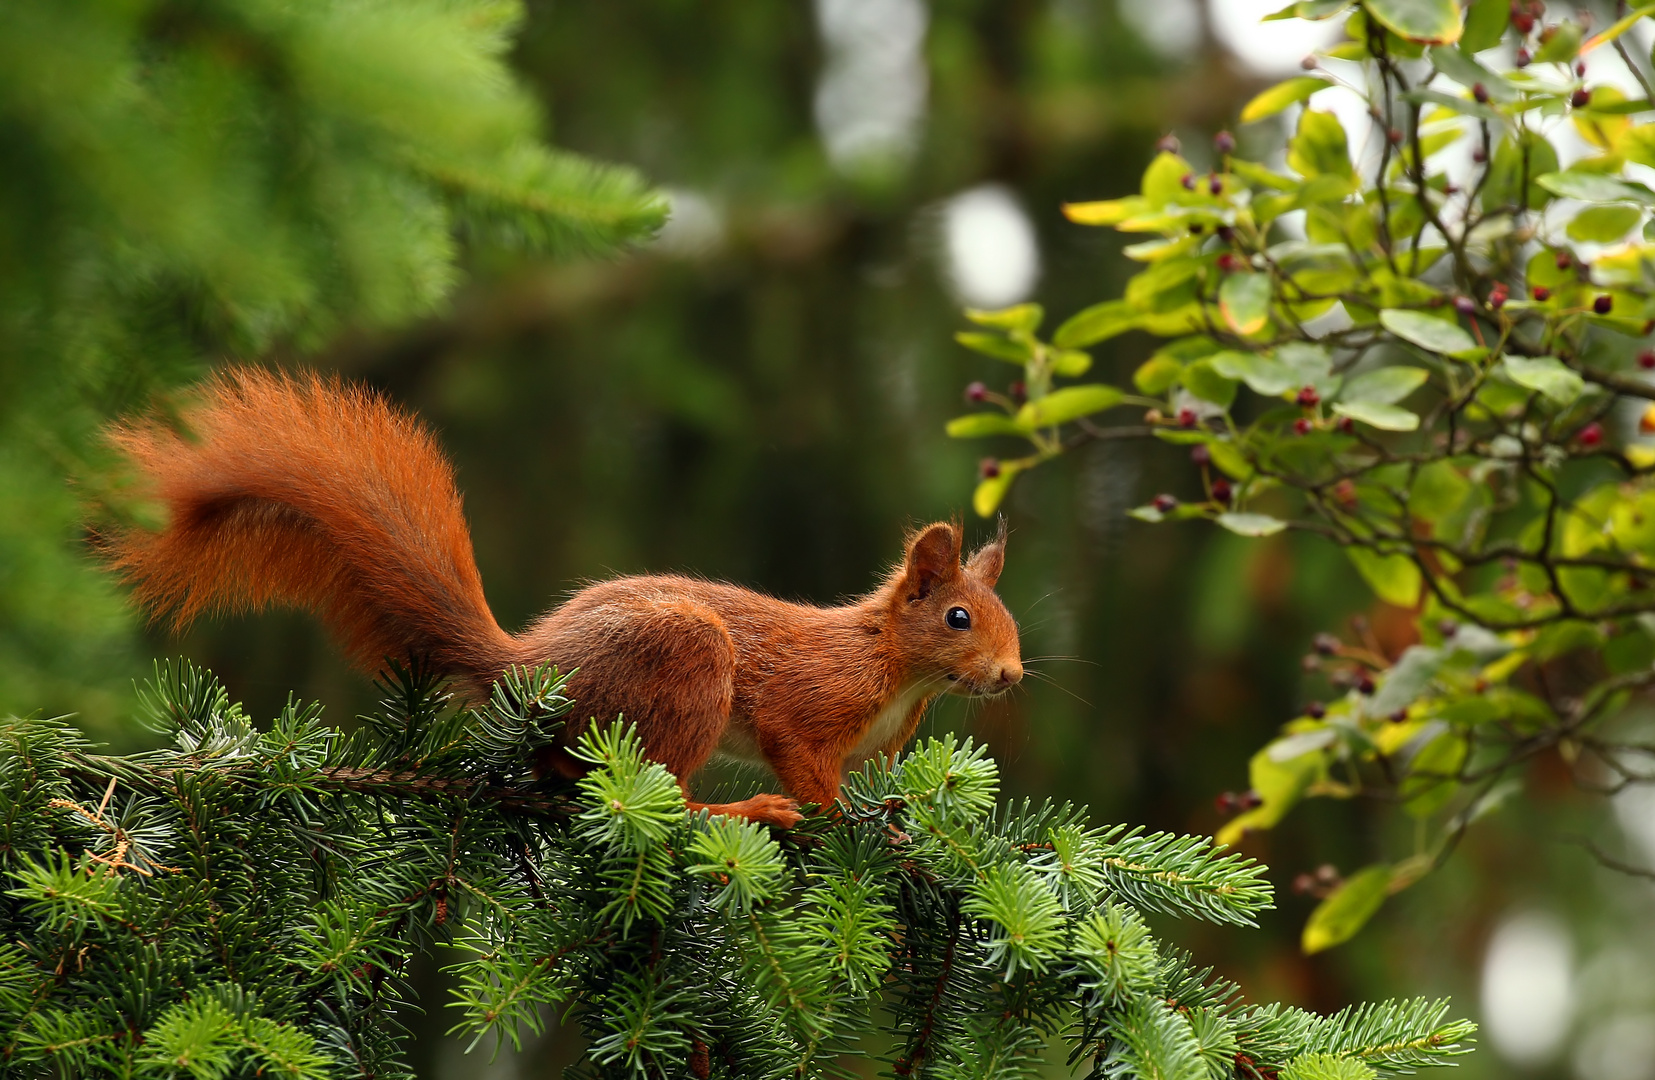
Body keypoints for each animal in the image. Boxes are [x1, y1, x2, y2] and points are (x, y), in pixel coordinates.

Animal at [100, 368, 1019, 826]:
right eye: (957, 617)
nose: (1010, 677)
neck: (895, 668)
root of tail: (526, 669)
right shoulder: (810, 704)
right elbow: (807, 766)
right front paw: (844, 822)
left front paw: (900, 823)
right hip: (684, 667)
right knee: (656, 794)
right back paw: (741, 810)